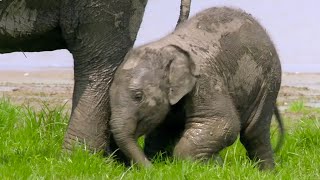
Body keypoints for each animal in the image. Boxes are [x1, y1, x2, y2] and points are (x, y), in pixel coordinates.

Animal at [109, 7, 282, 170]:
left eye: (138, 96)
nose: (152, 169)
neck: (164, 48)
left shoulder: (205, 79)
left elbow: (224, 123)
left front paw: (209, 165)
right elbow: (162, 130)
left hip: (268, 82)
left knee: (254, 132)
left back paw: (266, 173)